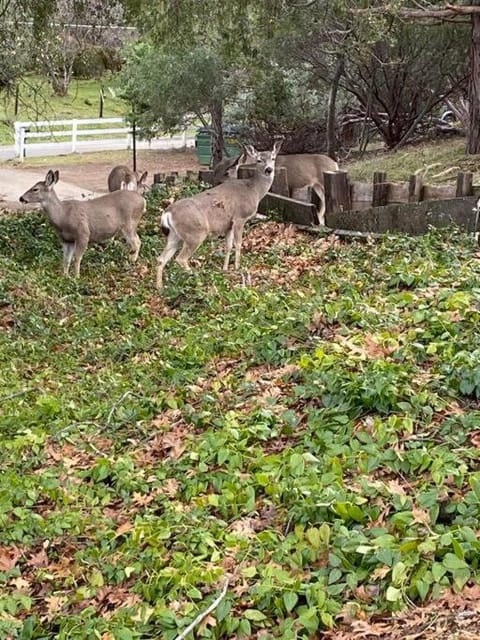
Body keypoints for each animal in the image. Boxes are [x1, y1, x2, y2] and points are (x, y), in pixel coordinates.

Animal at [156, 141, 284, 292]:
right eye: (259, 160)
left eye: (273, 158)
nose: (268, 169)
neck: (254, 190)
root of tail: (167, 212)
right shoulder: (240, 218)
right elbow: (238, 244)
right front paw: (237, 267)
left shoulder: (228, 224)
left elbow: (228, 246)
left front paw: (225, 268)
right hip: (195, 233)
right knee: (180, 259)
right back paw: (199, 278)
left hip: (174, 235)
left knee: (161, 259)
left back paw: (159, 287)